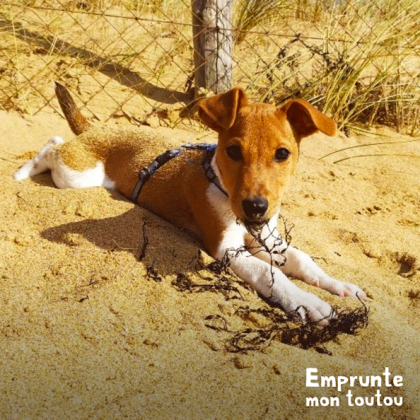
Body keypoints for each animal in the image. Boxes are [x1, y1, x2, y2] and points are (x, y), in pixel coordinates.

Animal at [13, 83, 364, 324]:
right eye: (233, 151)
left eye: (282, 154)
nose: (256, 208)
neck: (220, 185)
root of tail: (100, 129)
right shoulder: (226, 249)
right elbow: (269, 274)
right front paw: (309, 303)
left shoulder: (267, 239)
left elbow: (303, 260)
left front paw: (339, 285)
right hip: (75, 175)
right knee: (53, 146)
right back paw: (21, 172)